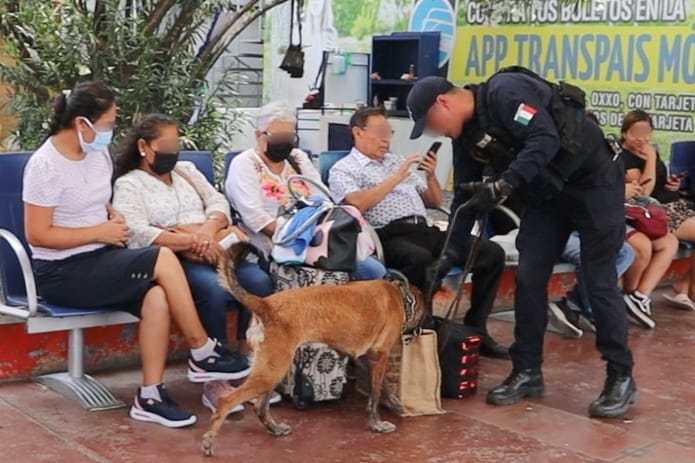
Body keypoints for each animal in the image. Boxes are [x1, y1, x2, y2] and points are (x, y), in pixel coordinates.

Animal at [201, 243, 424, 456]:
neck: (399, 295)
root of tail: (264, 304)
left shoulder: (366, 358)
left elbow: (382, 387)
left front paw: (393, 402)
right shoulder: (380, 355)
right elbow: (376, 394)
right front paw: (377, 423)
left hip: (273, 369)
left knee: (260, 406)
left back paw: (274, 428)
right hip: (271, 370)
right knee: (227, 401)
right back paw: (209, 441)